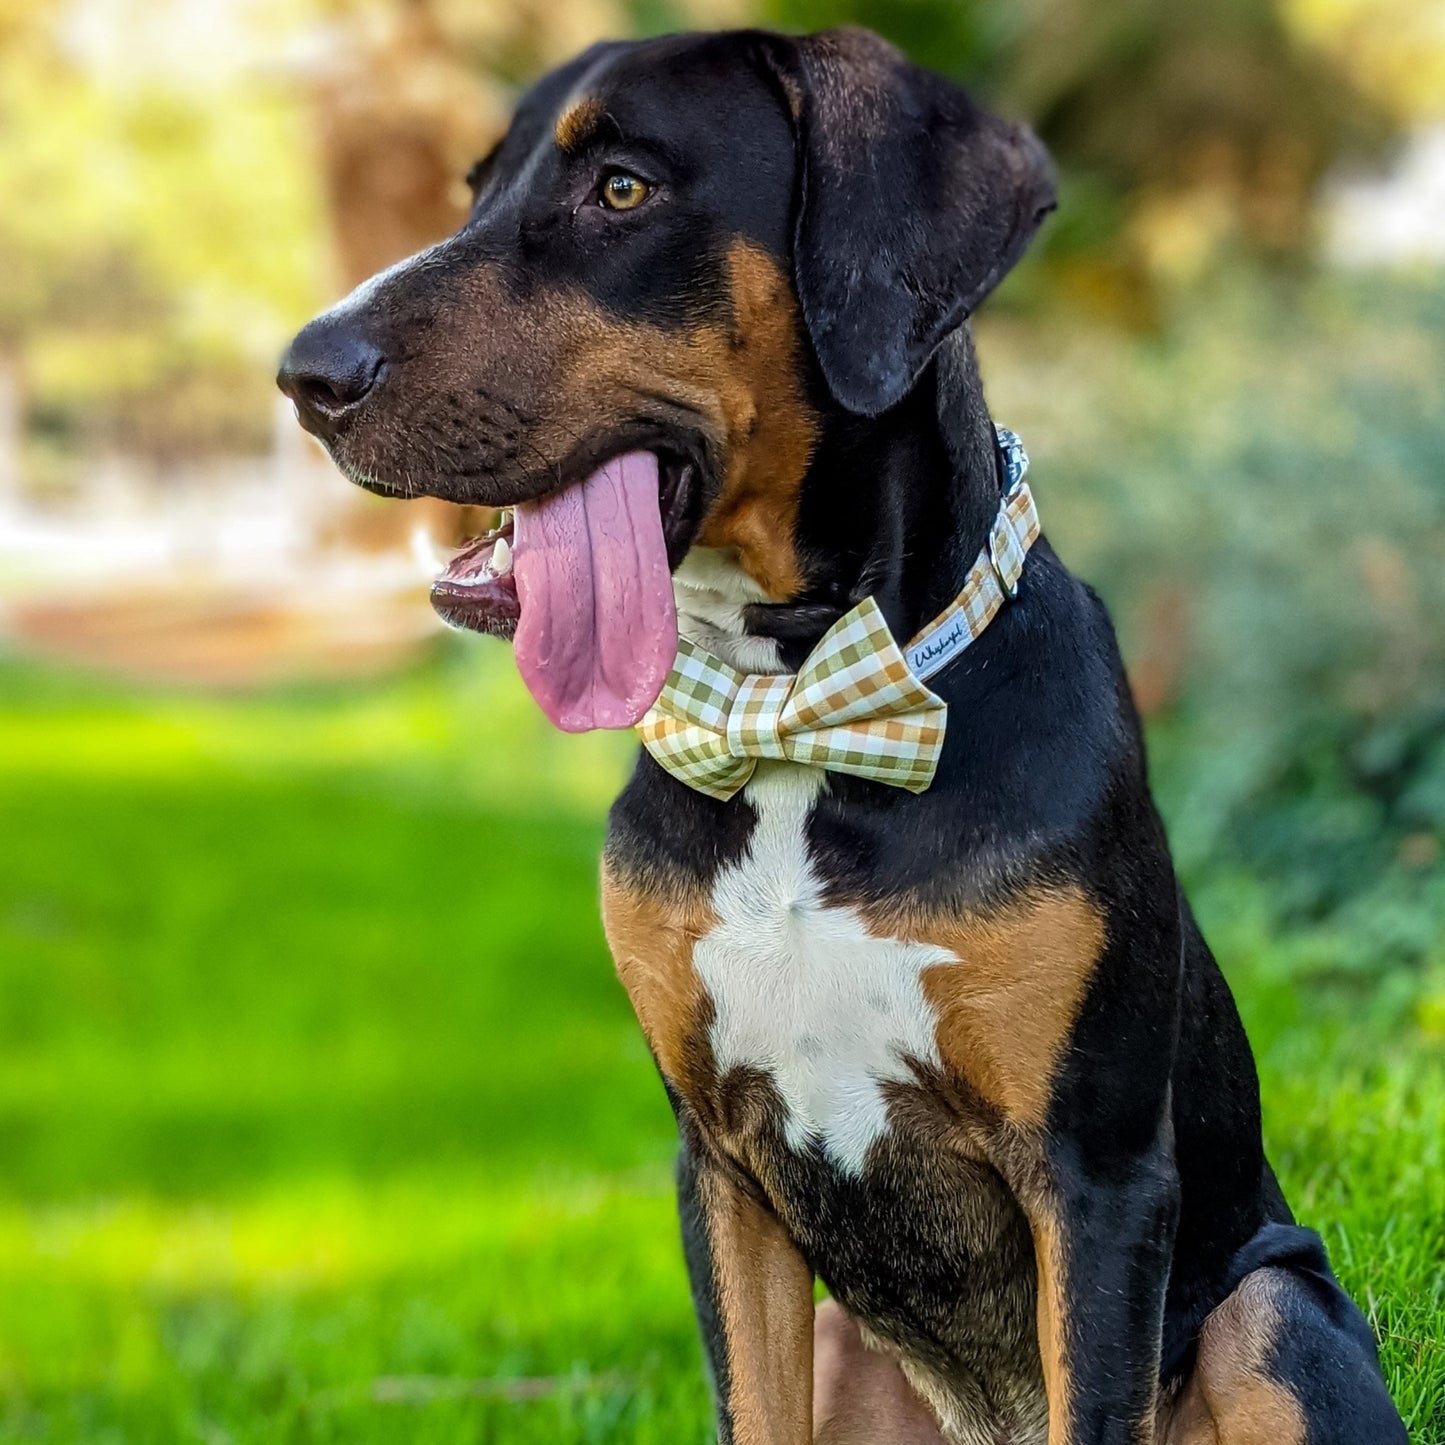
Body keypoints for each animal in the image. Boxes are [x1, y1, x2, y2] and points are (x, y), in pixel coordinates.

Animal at [275, 25, 1404, 1445]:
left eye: (623, 189)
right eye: (476, 188)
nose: (306, 375)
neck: (800, 719)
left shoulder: (1094, 1176)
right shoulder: (719, 1166)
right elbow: (749, 1397)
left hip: (1266, 1307)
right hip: (838, 1334)